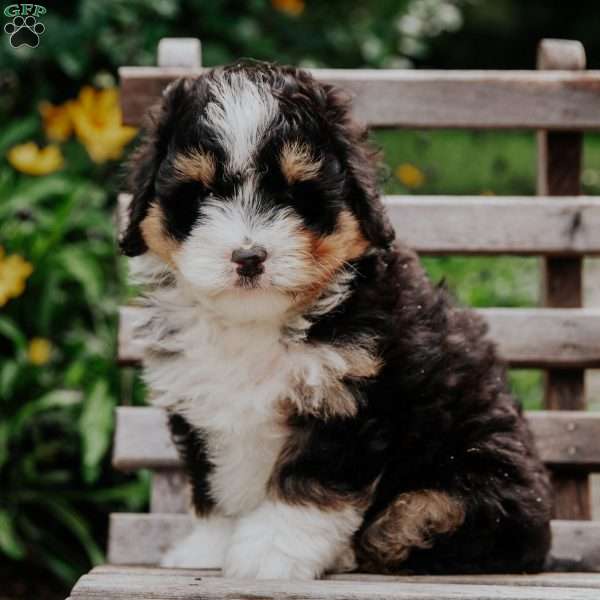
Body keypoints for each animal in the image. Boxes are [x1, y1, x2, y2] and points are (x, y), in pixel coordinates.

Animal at [120, 62, 552, 580]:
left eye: (296, 195)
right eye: (199, 194)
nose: (248, 257)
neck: (255, 324)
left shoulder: (346, 398)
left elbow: (307, 486)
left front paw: (269, 554)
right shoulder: (199, 403)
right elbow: (213, 485)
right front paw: (209, 547)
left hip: (476, 474)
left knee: (428, 519)